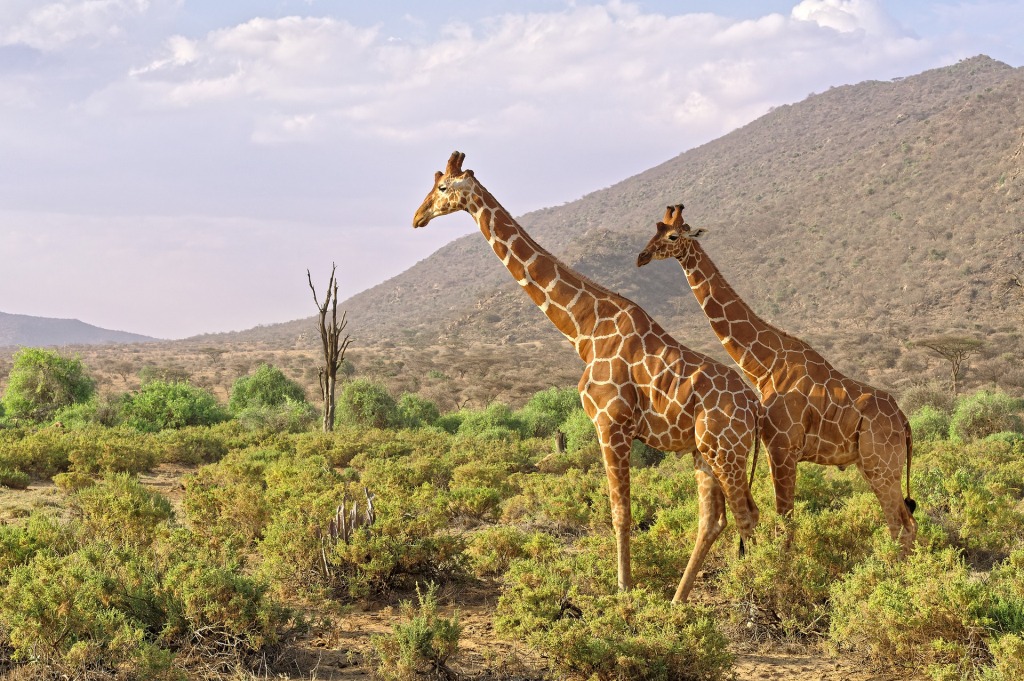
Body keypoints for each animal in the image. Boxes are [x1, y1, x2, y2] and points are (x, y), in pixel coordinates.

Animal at [409, 152, 761, 602]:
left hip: (726, 450)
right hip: (704, 450)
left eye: (442, 188)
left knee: (747, 514)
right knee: (715, 519)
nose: (417, 217)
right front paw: (629, 588)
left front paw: (624, 590)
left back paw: (759, 595)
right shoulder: (616, 428)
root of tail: (756, 408)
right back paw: (678, 600)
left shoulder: (611, 424)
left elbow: (620, 513)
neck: (584, 329)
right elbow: (622, 512)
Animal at [634, 201, 917, 552]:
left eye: (672, 235)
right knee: (903, 522)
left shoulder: (781, 447)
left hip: (881, 464)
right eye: (655, 229)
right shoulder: (778, 448)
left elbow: (785, 522)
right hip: (871, 464)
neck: (765, 364)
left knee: (901, 524)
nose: (642, 257)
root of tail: (905, 422)